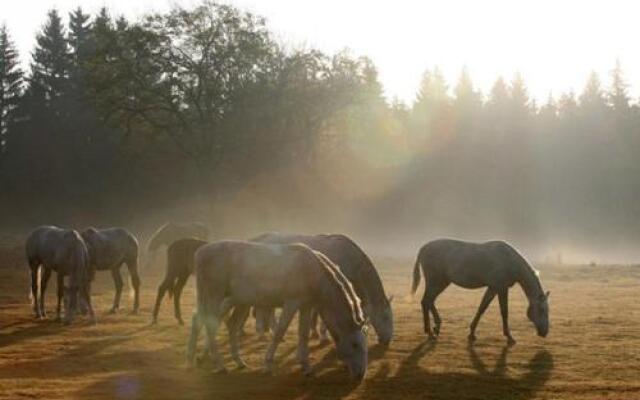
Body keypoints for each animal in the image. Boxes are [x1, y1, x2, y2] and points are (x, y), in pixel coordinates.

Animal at [185, 239, 368, 380]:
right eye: (354, 344)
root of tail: (200, 252)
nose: (360, 375)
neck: (312, 271)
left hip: (238, 301)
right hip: (214, 297)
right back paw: (218, 364)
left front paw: (306, 367)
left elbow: (303, 334)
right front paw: (267, 364)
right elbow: (280, 331)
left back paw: (225, 360)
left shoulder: (306, 306)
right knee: (209, 324)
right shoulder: (292, 303)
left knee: (225, 324)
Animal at [251, 233, 396, 346]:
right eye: (385, 317)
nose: (387, 340)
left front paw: (315, 332)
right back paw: (263, 331)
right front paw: (323, 335)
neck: (348, 258)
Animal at [416, 239, 552, 346]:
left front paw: (472, 333)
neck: (509, 261)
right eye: (542, 310)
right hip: (436, 281)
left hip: (442, 282)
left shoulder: (493, 288)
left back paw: (436, 327)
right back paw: (430, 332)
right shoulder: (501, 288)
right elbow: (504, 312)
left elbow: (482, 308)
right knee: (426, 301)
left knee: (429, 301)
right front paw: (509, 337)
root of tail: (423, 248)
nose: (545, 332)